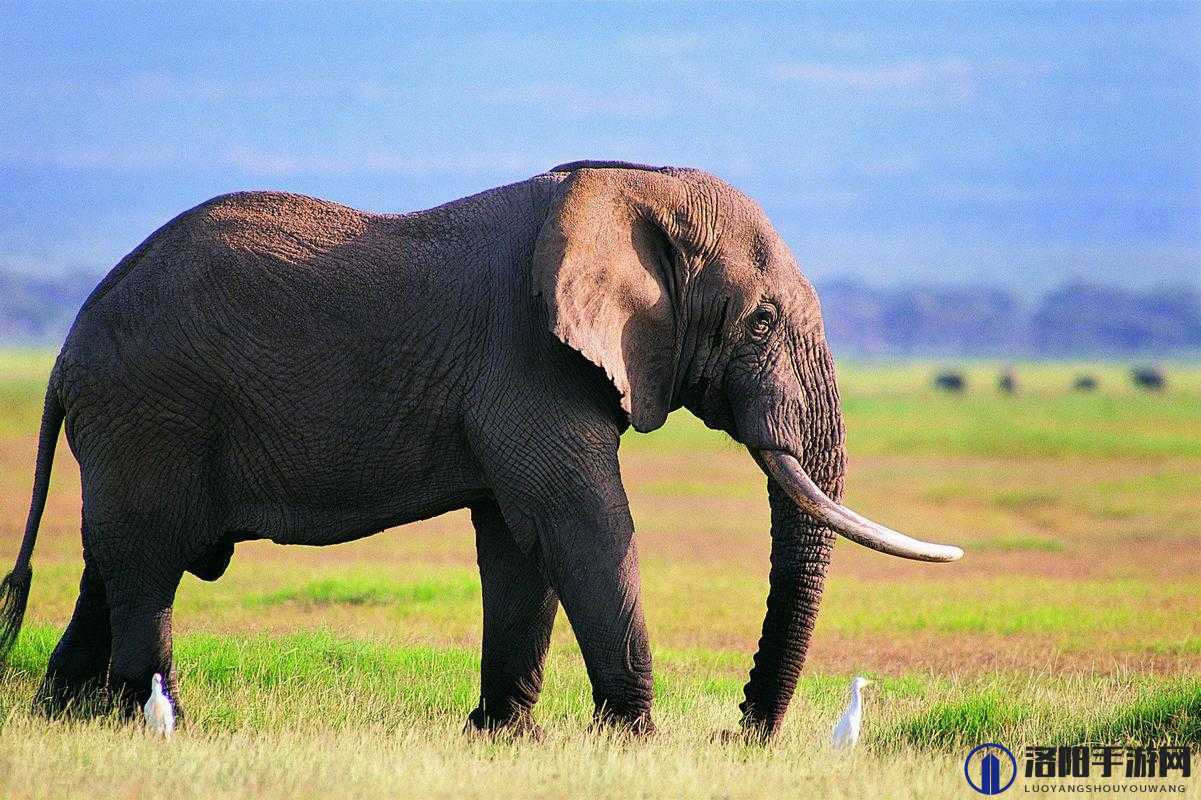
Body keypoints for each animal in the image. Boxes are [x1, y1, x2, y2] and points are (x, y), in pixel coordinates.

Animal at [0, 160, 962, 738]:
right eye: (759, 324)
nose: (739, 732)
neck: (631, 182)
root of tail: (65, 353)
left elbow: (519, 543)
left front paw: (508, 738)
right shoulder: (528, 360)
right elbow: (582, 523)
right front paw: (633, 741)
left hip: (132, 426)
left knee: (110, 561)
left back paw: (63, 716)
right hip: (150, 411)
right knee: (145, 562)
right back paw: (156, 721)